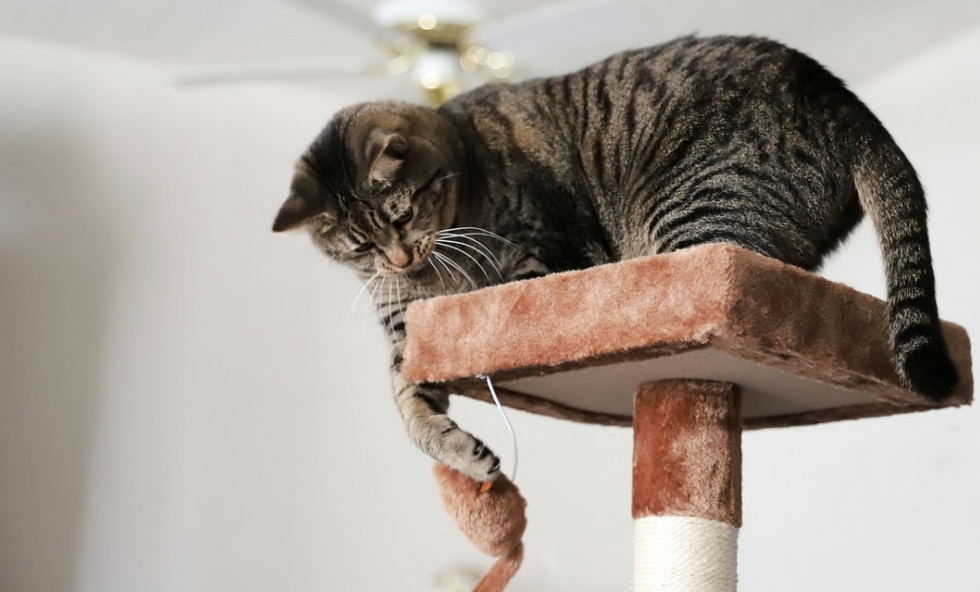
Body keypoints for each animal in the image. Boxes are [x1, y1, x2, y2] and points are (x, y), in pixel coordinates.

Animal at [272, 34, 952, 484]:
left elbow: (506, 300)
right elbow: (408, 409)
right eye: (360, 246)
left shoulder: (542, 251)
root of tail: (842, 99)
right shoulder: (411, 338)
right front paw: (461, 453)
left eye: (403, 215)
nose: (398, 258)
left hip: (694, 224)